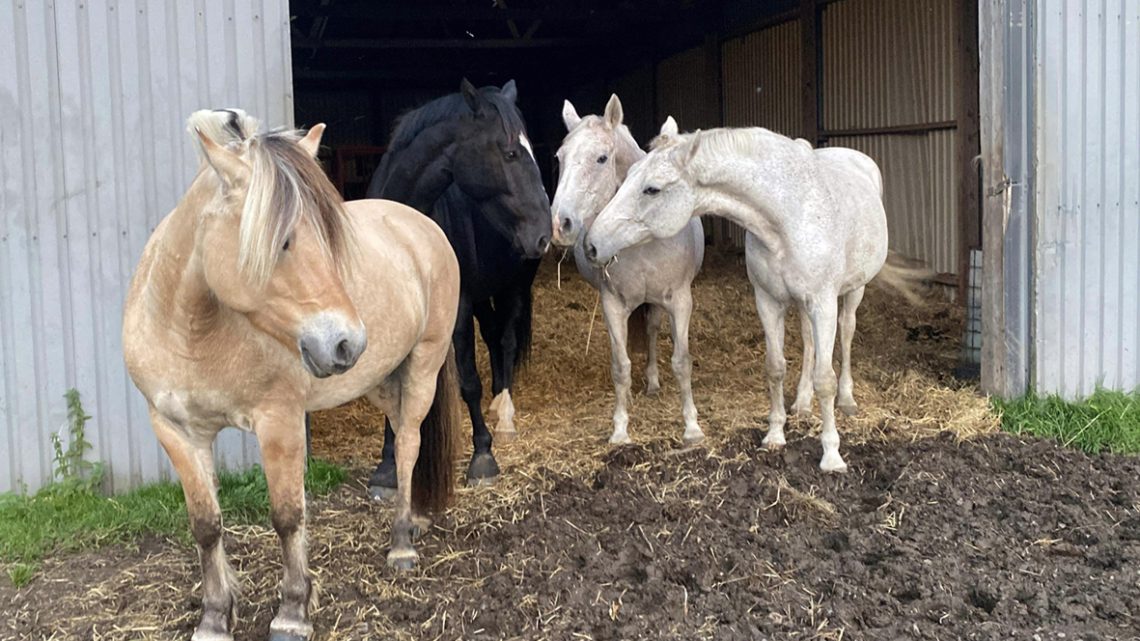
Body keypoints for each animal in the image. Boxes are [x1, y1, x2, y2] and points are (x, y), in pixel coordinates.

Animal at [122, 111, 460, 638]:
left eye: (328, 237)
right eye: (281, 241)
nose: (347, 343)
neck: (189, 330)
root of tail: (421, 225)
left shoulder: (279, 422)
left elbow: (286, 516)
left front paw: (293, 611)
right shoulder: (176, 430)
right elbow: (206, 524)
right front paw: (215, 615)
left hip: (424, 365)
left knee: (409, 443)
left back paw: (402, 542)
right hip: (380, 381)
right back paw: (414, 520)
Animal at [360, 75, 547, 495]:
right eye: (511, 153)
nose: (545, 230)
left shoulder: (458, 306)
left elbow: (468, 380)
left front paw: (483, 457)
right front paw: (387, 464)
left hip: (513, 286)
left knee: (506, 340)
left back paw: (504, 416)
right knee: (493, 335)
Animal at [549, 94, 702, 444]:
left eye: (601, 158)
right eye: (560, 157)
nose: (560, 225)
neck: (640, 238)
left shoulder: (679, 300)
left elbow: (682, 362)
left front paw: (692, 426)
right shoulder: (613, 304)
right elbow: (620, 365)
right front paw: (620, 429)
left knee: (652, 331)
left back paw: (654, 383)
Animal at [588, 127, 925, 472]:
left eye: (652, 189)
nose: (592, 244)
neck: (788, 216)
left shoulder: (823, 303)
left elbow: (825, 379)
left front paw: (832, 455)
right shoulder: (768, 301)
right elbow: (775, 368)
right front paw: (775, 435)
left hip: (852, 292)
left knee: (846, 334)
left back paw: (847, 399)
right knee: (809, 342)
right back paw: (802, 402)